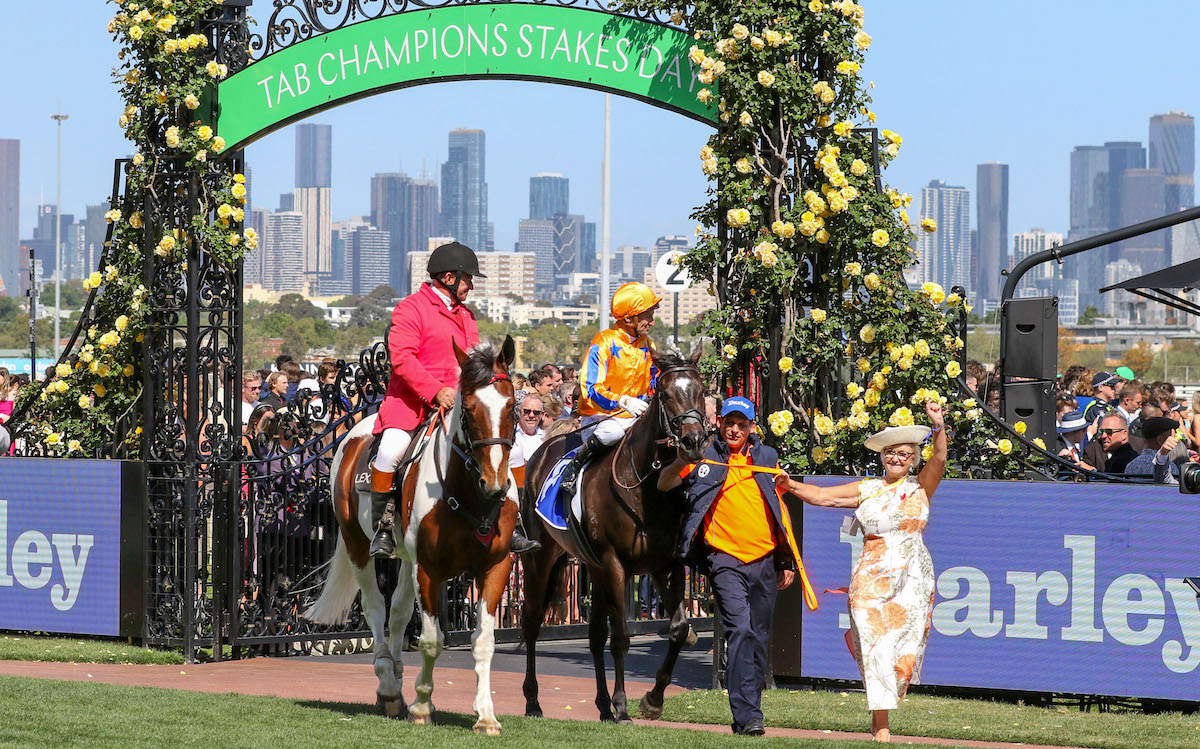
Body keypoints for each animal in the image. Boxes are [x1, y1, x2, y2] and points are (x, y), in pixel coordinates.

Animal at [302, 336, 518, 734]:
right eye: (468, 408)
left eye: (512, 406)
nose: (494, 483)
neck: (469, 494)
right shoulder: (429, 569)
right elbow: (432, 641)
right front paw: (422, 706)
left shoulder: (495, 567)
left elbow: (484, 642)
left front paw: (486, 715)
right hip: (359, 546)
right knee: (376, 607)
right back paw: (388, 685)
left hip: (406, 558)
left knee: (399, 613)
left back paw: (396, 681)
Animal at [520, 348, 705, 724]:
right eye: (666, 395)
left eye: (701, 390)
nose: (694, 441)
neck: (647, 487)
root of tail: (541, 452)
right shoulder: (616, 563)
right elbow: (620, 636)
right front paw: (623, 705)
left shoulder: (665, 564)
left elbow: (678, 628)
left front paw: (652, 700)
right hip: (541, 557)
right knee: (531, 622)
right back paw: (533, 702)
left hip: (592, 567)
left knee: (593, 636)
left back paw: (602, 705)